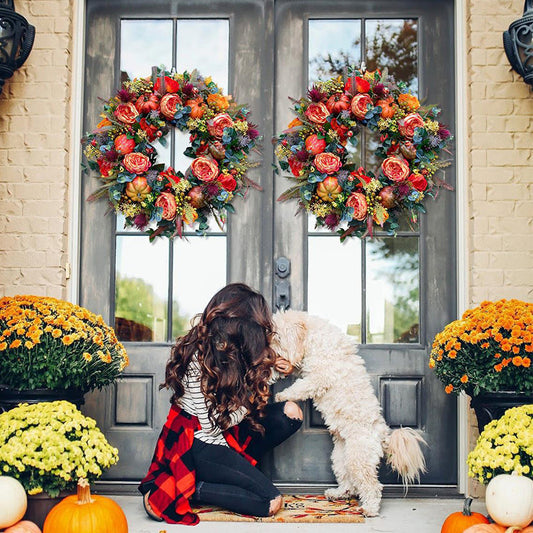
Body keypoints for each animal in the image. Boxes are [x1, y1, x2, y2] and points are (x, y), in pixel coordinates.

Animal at [272, 308, 426, 516]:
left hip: (358, 459)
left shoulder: (319, 377)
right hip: (340, 459)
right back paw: (338, 494)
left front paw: (281, 395)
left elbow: (300, 387)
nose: (268, 352)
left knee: (372, 486)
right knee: (349, 483)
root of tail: (382, 436)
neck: (315, 338)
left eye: (277, 336)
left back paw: (369, 508)